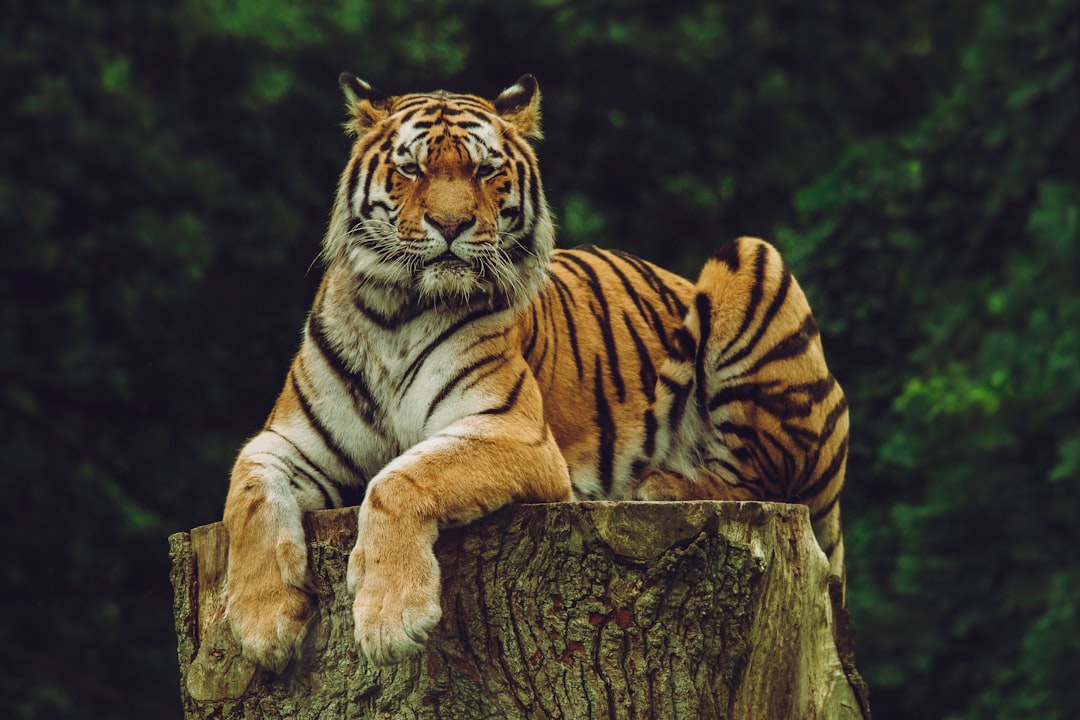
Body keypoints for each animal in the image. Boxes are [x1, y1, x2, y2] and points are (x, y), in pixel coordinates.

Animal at [222, 73, 849, 671]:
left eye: (485, 170)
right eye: (411, 168)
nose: (450, 224)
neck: (395, 314)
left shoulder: (513, 431)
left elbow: (399, 479)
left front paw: (390, 619)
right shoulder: (289, 441)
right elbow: (247, 497)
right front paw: (262, 625)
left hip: (752, 259)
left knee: (765, 479)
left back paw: (660, 484)